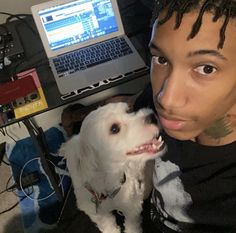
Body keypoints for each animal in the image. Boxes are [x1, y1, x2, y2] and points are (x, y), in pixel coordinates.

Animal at [60, 102, 165, 233]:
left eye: (128, 111)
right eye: (114, 129)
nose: (152, 116)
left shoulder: (131, 207)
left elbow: (132, 226)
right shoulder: (99, 215)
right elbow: (108, 227)